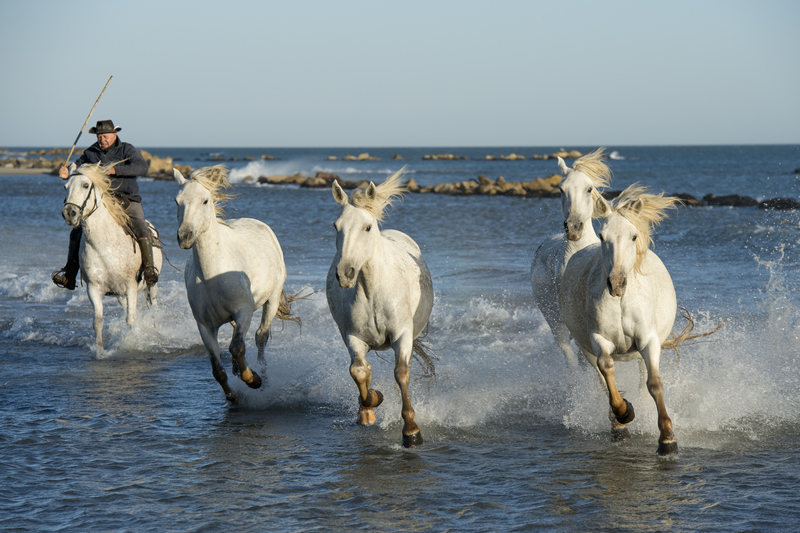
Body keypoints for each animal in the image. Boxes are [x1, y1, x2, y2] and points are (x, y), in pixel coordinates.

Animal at [63, 162, 164, 354]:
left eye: (85, 185)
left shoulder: (131, 286)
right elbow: (98, 322)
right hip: (119, 294)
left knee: (153, 307)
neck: (105, 245)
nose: (69, 213)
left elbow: (131, 320)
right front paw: (100, 352)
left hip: (151, 285)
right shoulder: (94, 289)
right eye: (66, 187)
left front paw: (133, 343)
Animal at [173, 164, 294, 402]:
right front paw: (232, 396)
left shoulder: (244, 310)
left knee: (259, 337)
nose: (185, 236)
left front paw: (254, 380)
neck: (213, 274)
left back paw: (262, 375)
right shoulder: (204, 325)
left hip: (272, 299)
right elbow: (217, 369)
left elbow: (238, 347)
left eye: (205, 201)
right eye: (177, 201)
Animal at [326, 168, 438, 446]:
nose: (345, 273)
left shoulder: (402, 335)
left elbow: (401, 373)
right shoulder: (353, 337)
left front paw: (411, 431)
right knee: (363, 369)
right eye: (336, 226)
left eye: (367, 227)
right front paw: (371, 403)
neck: (372, 291)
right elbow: (359, 372)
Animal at [556, 184, 680, 454]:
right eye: (603, 237)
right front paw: (624, 412)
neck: (623, 302)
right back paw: (618, 425)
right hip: (585, 349)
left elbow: (654, 383)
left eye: (633, 237)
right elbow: (607, 369)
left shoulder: (648, 341)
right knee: (603, 380)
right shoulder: (598, 339)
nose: (616, 284)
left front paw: (667, 437)